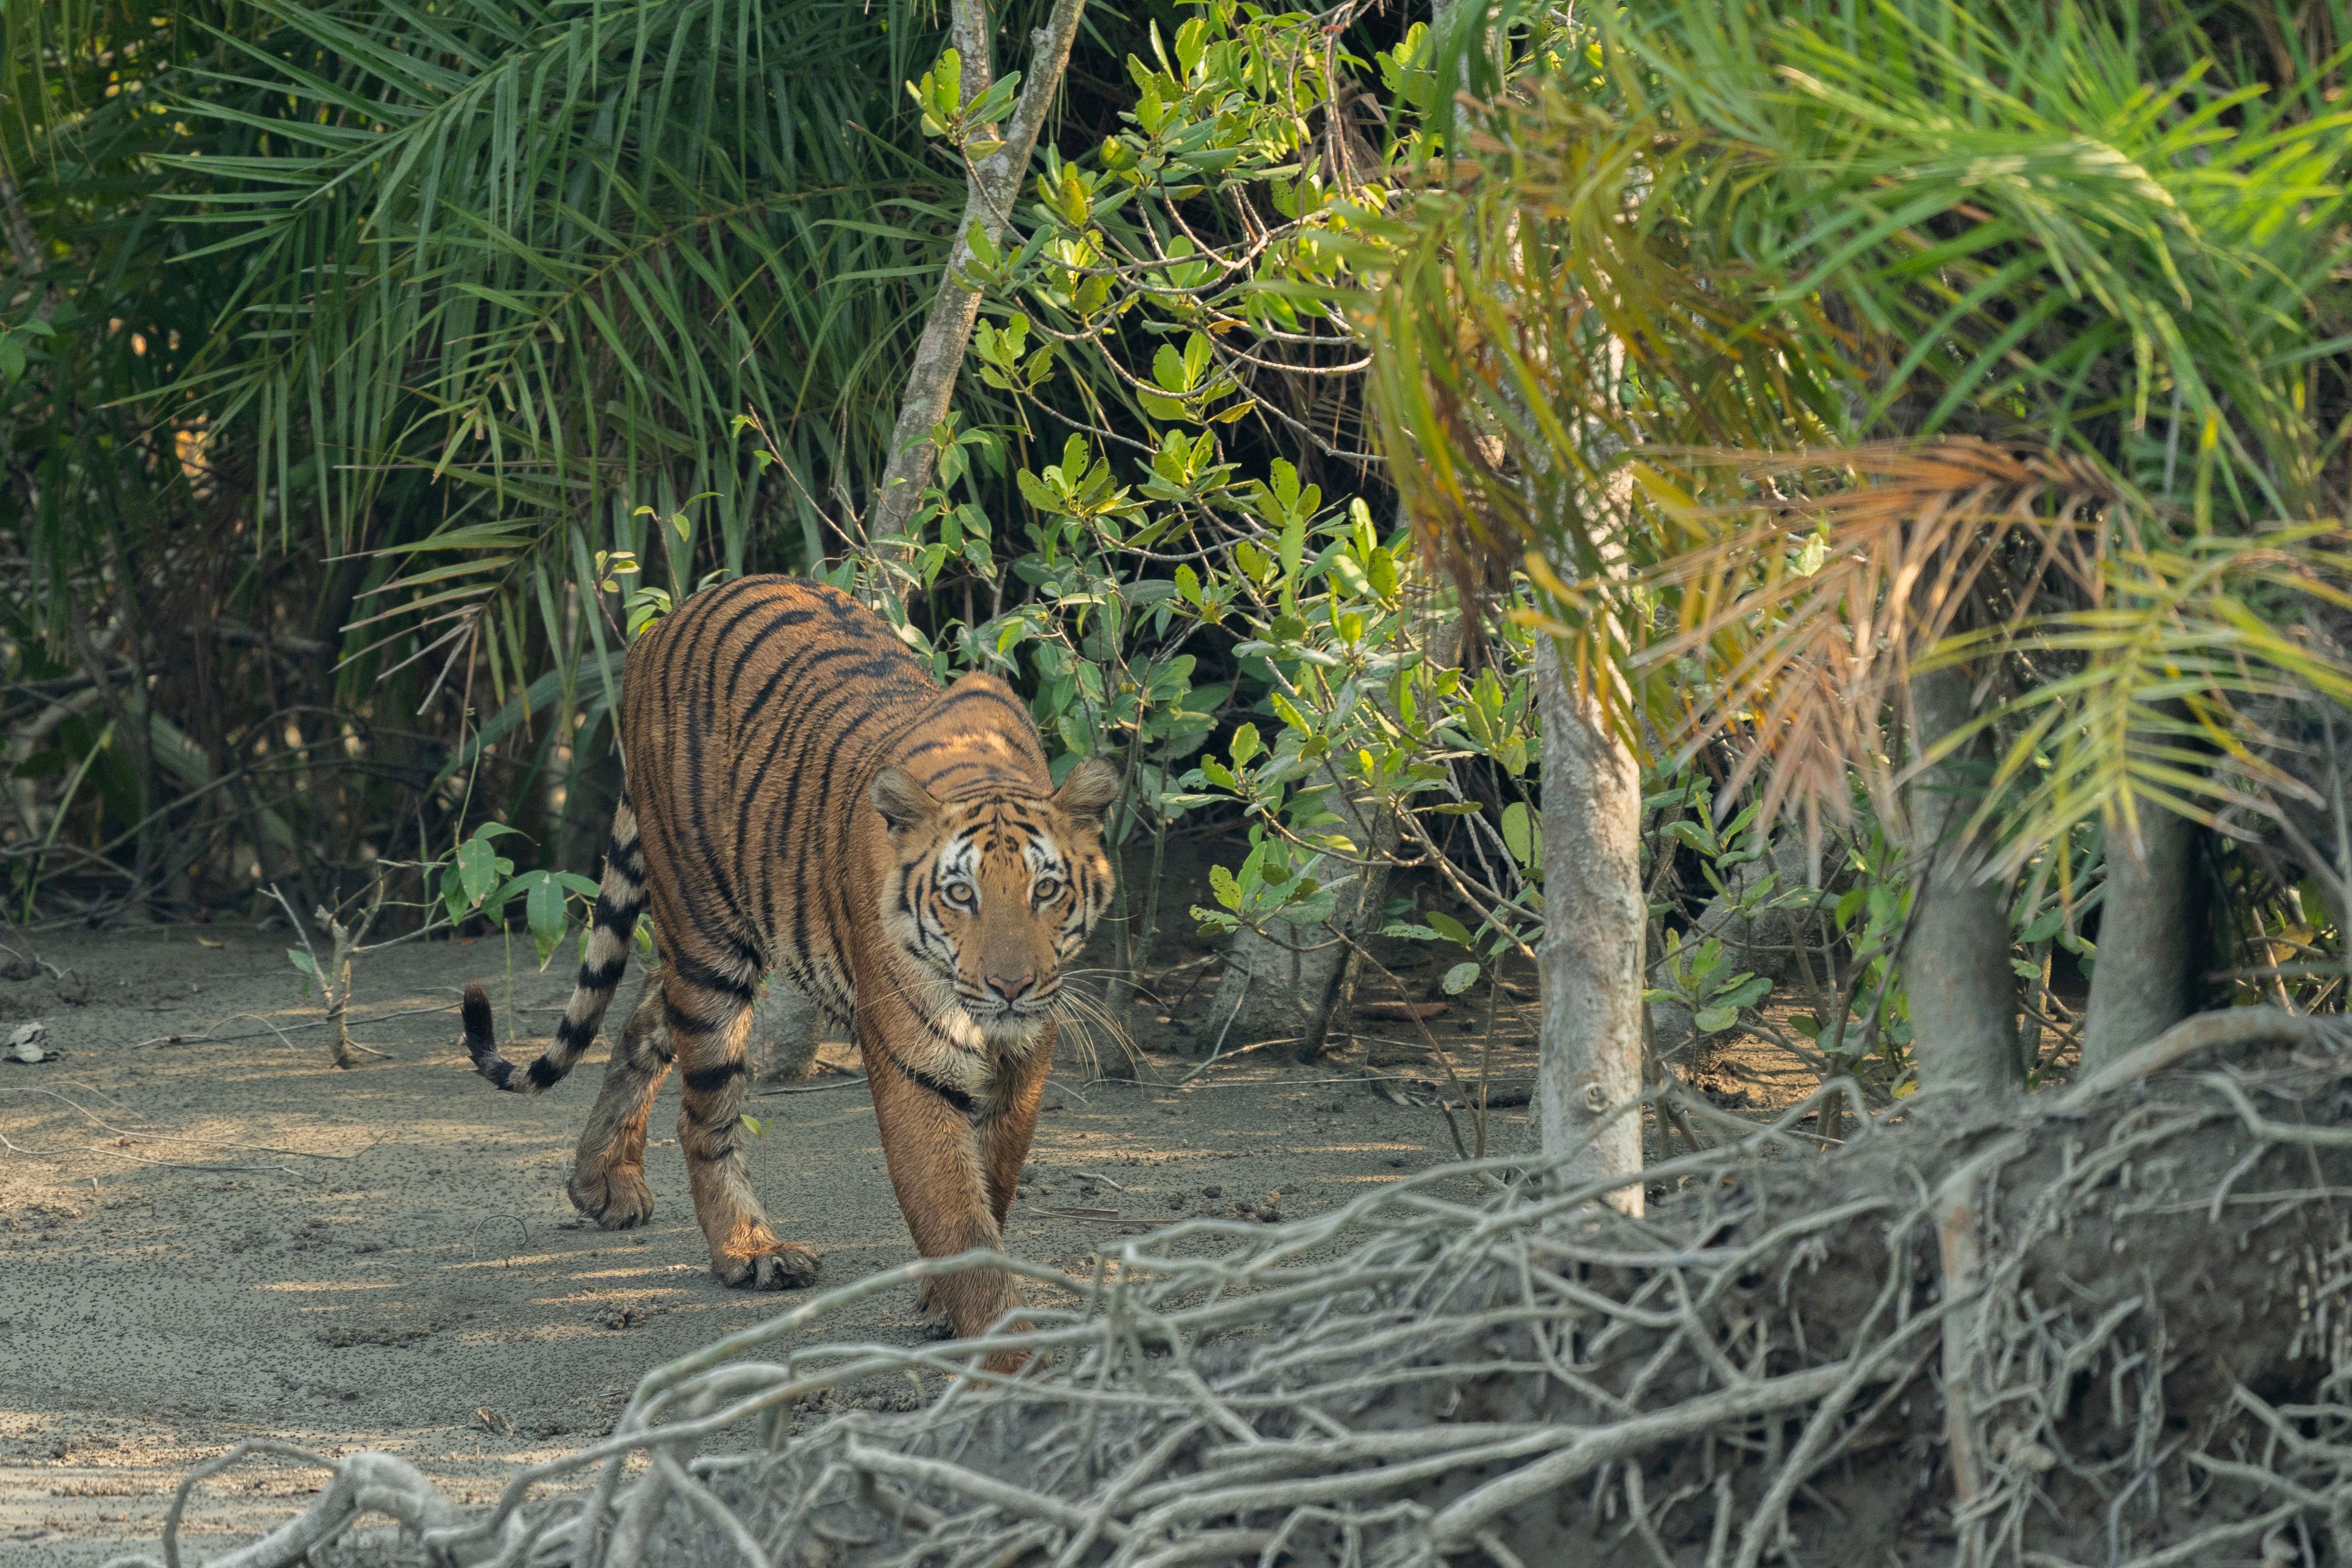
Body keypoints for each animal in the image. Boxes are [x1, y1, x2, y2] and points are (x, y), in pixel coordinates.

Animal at [459, 575, 1119, 1355]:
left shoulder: (1026, 1057)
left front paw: (942, 1299)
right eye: (961, 894)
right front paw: (1001, 1348)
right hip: (708, 938)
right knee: (703, 1114)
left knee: (641, 1021)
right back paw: (749, 1251)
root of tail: (667, 621)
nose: (1010, 986)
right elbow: (959, 1220)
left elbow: (995, 1178)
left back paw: (602, 1182)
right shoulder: (914, 1064)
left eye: (1046, 890)